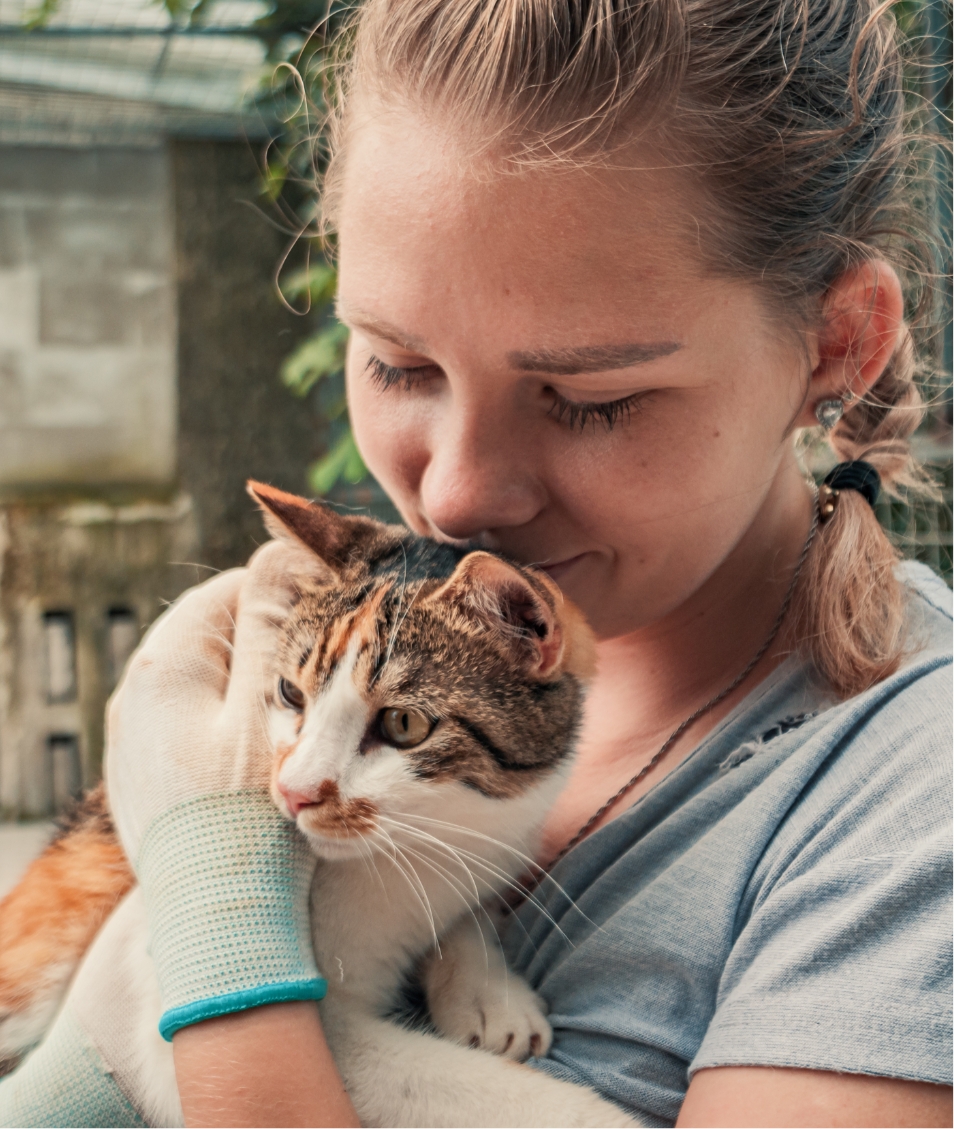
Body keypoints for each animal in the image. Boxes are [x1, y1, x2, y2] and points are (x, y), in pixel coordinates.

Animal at [1, 480, 641, 1124]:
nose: (295, 791)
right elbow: (458, 1086)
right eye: (289, 692)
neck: (415, 850)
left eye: (404, 724)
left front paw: (487, 988)